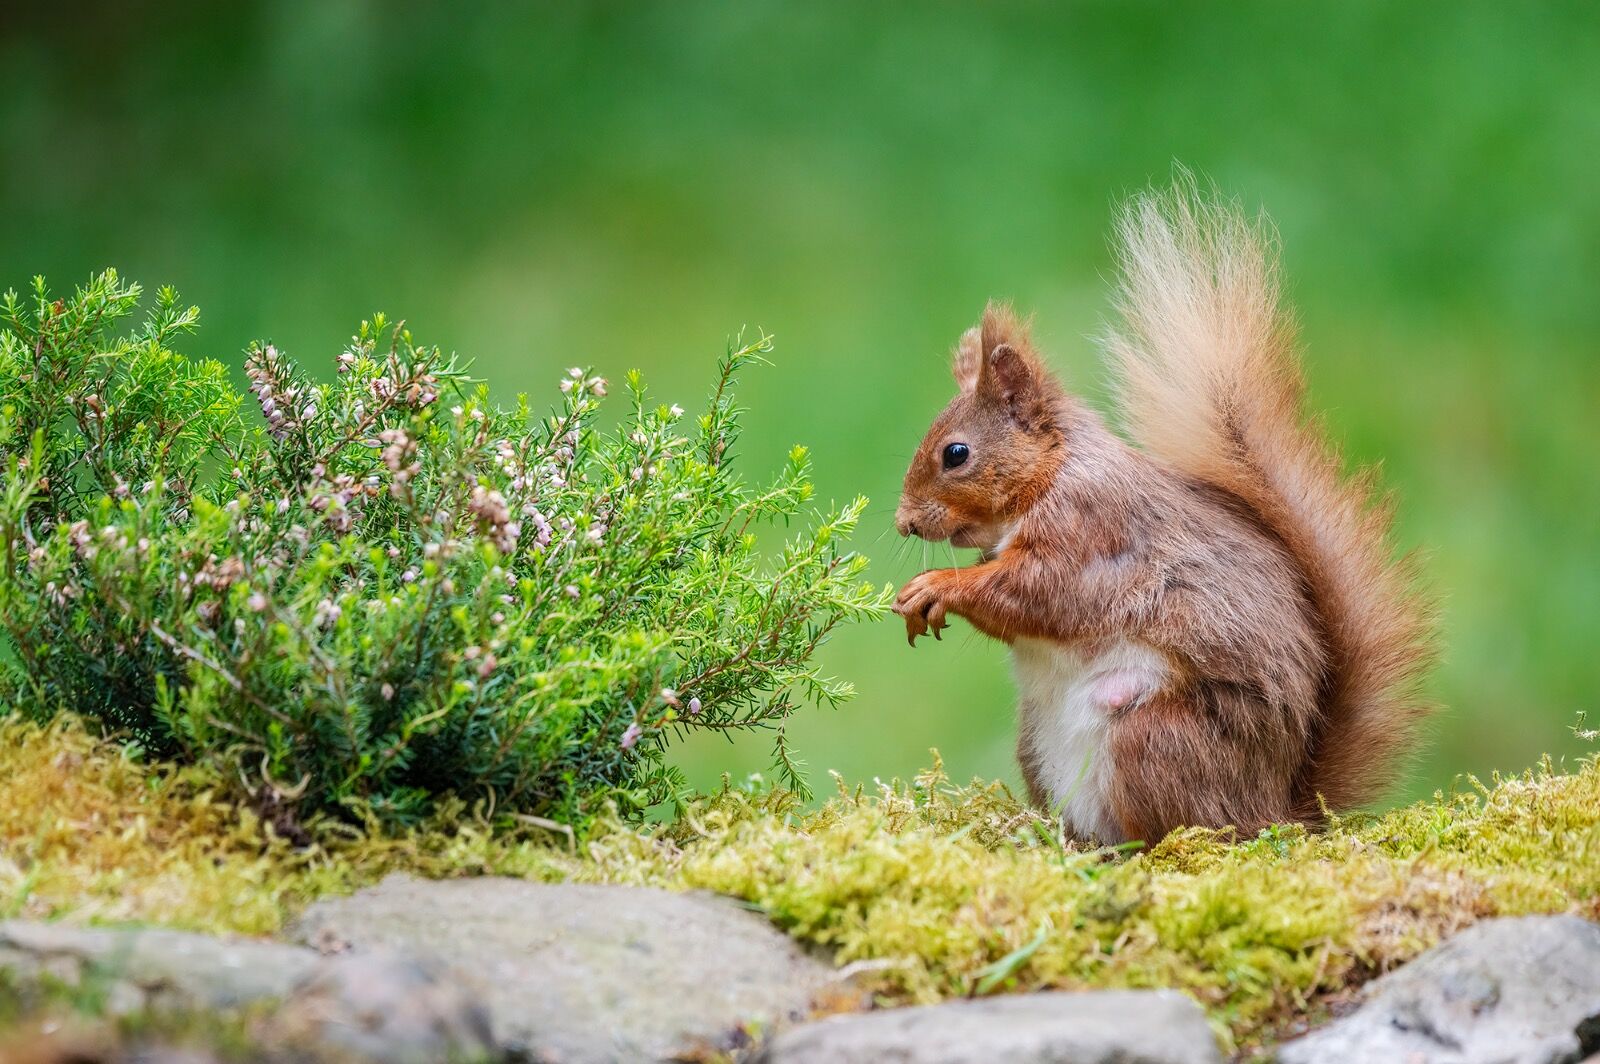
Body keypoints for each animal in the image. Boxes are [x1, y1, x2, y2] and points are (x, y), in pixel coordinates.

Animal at [892, 182, 1436, 844]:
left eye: (956, 453)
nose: (903, 522)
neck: (1053, 474)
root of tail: (1277, 808)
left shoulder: (1090, 532)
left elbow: (1036, 592)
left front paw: (936, 585)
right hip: (1039, 748)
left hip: (1153, 739)